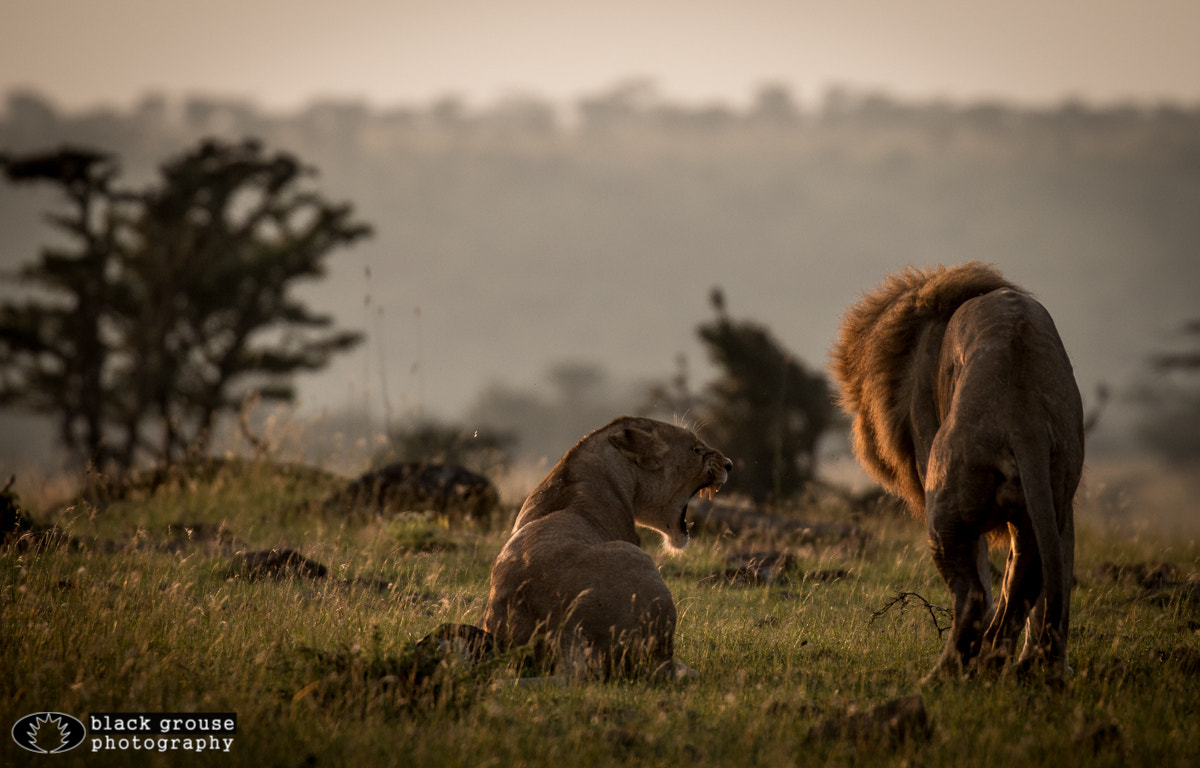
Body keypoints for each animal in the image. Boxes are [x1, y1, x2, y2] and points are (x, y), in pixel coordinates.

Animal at [830, 262, 1084, 676]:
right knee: (1025, 589)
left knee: (975, 596)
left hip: (946, 504)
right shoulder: (1058, 513)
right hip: (1046, 498)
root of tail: (1024, 415)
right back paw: (1002, 666)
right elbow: (1047, 591)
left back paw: (943, 675)